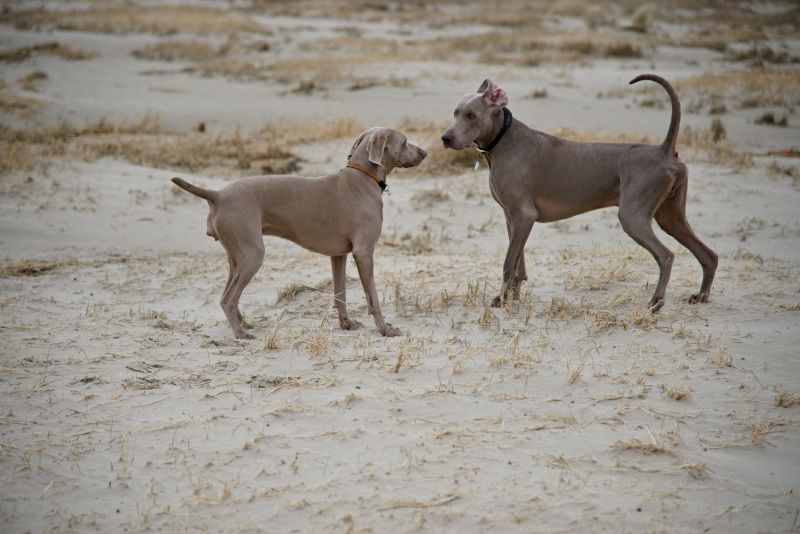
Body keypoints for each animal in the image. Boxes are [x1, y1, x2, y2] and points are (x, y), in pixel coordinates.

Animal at [173, 126, 428, 340]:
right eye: (405, 141)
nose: (425, 152)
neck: (363, 177)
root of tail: (217, 195)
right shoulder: (364, 253)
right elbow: (373, 298)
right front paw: (385, 329)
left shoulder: (339, 254)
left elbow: (340, 294)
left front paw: (346, 324)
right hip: (252, 255)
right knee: (228, 299)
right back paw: (240, 333)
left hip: (236, 257)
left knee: (228, 293)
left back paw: (243, 324)